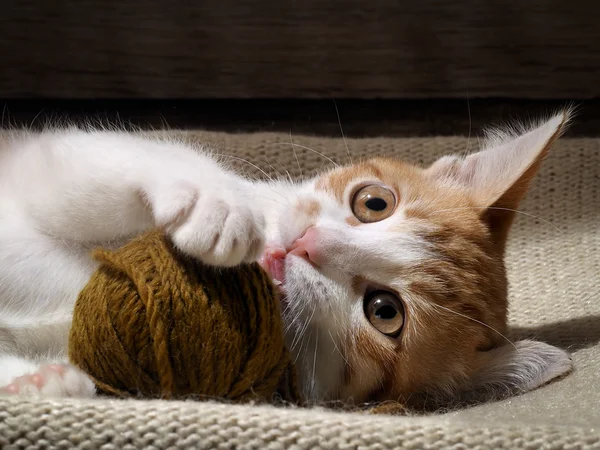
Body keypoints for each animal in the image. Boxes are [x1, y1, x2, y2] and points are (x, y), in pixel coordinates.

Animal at [0, 110, 576, 406]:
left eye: (385, 312)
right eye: (374, 203)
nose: (308, 244)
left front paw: (40, 382)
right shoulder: (36, 162)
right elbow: (87, 169)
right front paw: (218, 201)